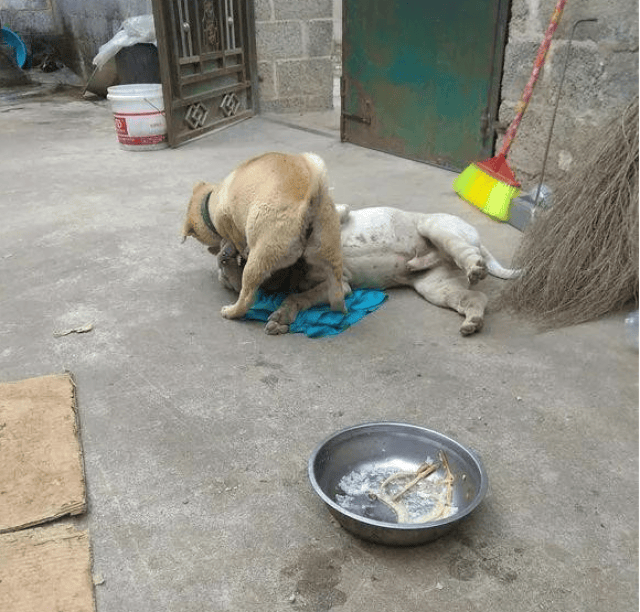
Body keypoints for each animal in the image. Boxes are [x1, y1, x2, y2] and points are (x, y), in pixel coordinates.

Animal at [182, 153, 348, 334]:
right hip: (330, 250)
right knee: (337, 295)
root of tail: (312, 193)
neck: (210, 200)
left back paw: (231, 311)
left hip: (259, 259)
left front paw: (237, 249)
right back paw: (339, 311)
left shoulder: (226, 219)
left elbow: (236, 239)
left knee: (247, 297)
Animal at [218, 206, 516, 334]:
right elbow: (297, 297)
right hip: (434, 287)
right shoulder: (337, 287)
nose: (224, 253)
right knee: (474, 297)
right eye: (229, 282)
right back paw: (471, 320)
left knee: (461, 251)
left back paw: (473, 267)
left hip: (435, 226)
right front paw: (281, 317)